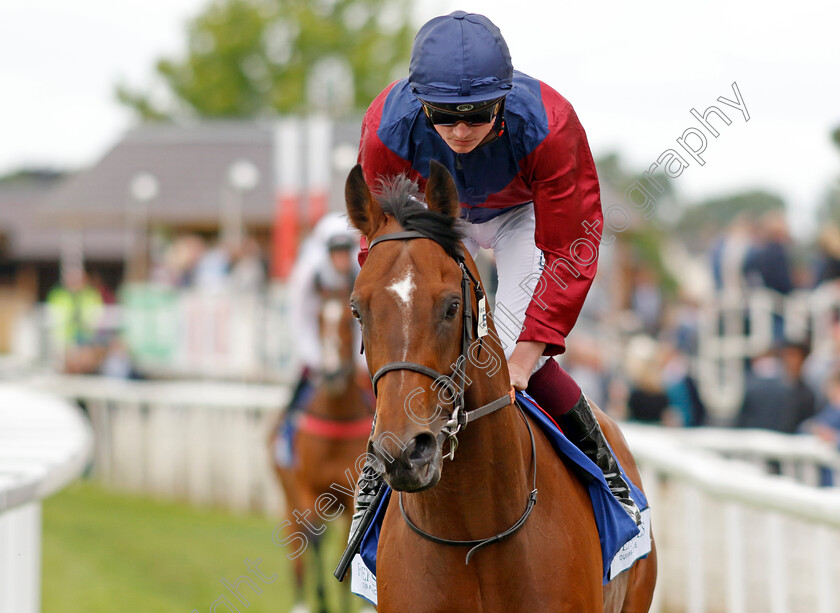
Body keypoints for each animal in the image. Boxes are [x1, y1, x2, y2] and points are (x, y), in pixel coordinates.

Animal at [270, 282, 372, 612]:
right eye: (317, 320)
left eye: (347, 321)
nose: (331, 373)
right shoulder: (307, 490)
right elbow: (314, 540)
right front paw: (324, 602)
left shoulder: (351, 495)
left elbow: (348, 546)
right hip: (287, 495)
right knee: (297, 542)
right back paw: (302, 603)